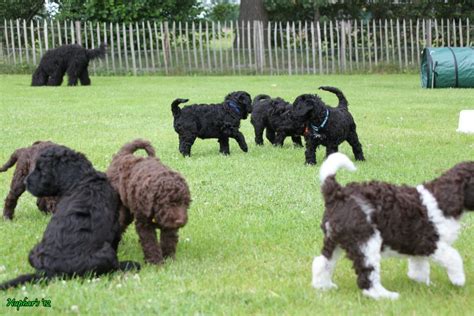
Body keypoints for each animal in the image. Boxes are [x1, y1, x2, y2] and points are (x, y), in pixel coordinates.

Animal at [0, 146, 139, 292]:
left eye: (41, 170)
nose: (25, 182)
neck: (83, 179)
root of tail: (46, 272)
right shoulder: (114, 227)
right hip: (106, 253)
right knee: (111, 267)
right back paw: (130, 264)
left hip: (34, 252)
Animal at [312, 154, 474, 300]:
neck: (441, 200)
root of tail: (337, 193)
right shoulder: (429, 242)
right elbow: (453, 256)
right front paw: (458, 280)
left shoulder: (417, 247)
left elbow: (419, 268)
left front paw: (423, 285)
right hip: (366, 242)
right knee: (367, 274)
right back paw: (384, 295)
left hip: (334, 239)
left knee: (322, 262)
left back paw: (323, 286)